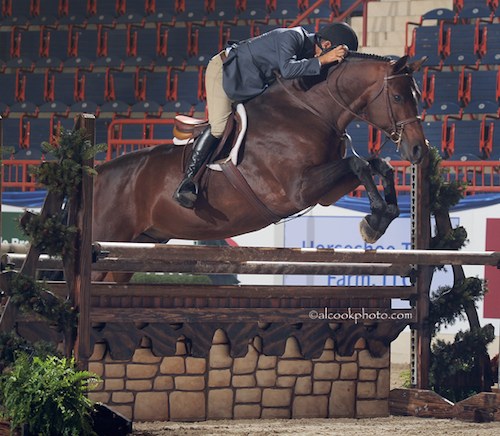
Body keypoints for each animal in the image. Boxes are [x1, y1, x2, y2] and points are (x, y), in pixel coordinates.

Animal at [92, 53, 428, 280]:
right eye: (398, 97)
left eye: (417, 96)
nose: (419, 150)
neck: (311, 111)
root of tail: (99, 173)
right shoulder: (298, 190)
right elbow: (358, 164)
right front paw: (374, 221)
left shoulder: (326, 193)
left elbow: (376, 165)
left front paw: (382, 217)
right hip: (108, 240)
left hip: (135, 247)